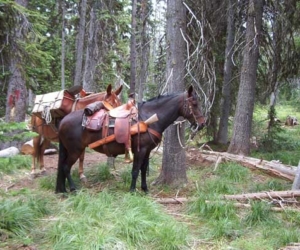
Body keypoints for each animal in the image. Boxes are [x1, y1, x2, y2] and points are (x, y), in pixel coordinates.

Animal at [55, 86, 206, 193]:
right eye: (194, 103)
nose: (202, 123)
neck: (148, 118)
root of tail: (63, 121)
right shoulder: (140, 150)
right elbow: (135, 170)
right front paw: (133, 190)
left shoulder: (147, 150)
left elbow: (143, 169)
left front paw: (145, 189)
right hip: (75, 150)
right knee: (66, 167)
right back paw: (73, 189)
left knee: (63, 167)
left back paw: (64, 189)